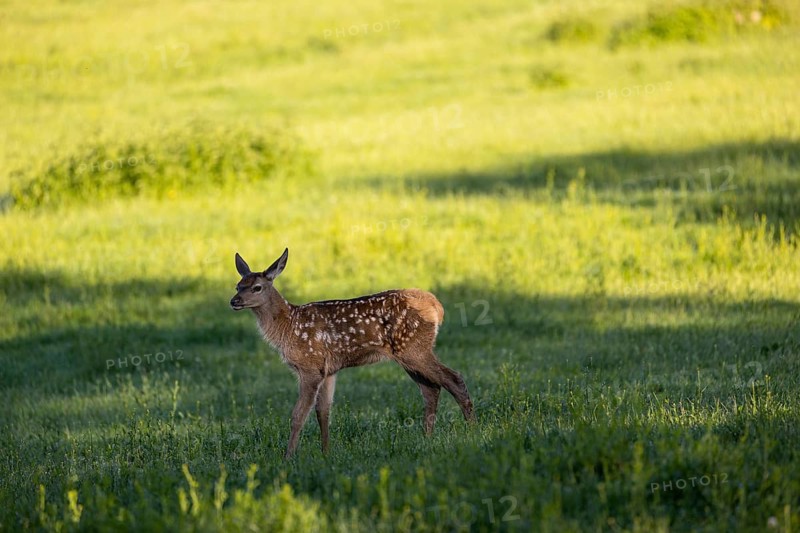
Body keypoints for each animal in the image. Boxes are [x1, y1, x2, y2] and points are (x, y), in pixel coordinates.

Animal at [229, 248, 475, 459]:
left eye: (257, 287)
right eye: (238, 285)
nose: (234, 301)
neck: (289, 326)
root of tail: (437, 307)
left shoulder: (310, 366)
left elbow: (298, 415)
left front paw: (288, 457)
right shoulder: (328, 370)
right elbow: (323, 412)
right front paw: (325, 453)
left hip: (414, 348)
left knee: (454, 379)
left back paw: (473, 431)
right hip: (409, 354)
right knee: (431, 389)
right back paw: (427, 438)